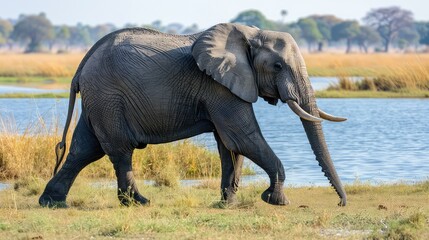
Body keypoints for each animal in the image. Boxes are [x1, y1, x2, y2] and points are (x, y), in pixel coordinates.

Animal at [38, 22, 348, 207]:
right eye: (278, 66)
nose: (341, 203)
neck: (250, 34)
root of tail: (82, 64)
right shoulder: (218, 86)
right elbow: (242, 137)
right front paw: (277, 201)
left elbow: (229, 145)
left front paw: (226, 204)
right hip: (108, 97)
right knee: (119, 151)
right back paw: (139, 202)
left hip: (99, 99)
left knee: (84, 149)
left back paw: (52, 202)